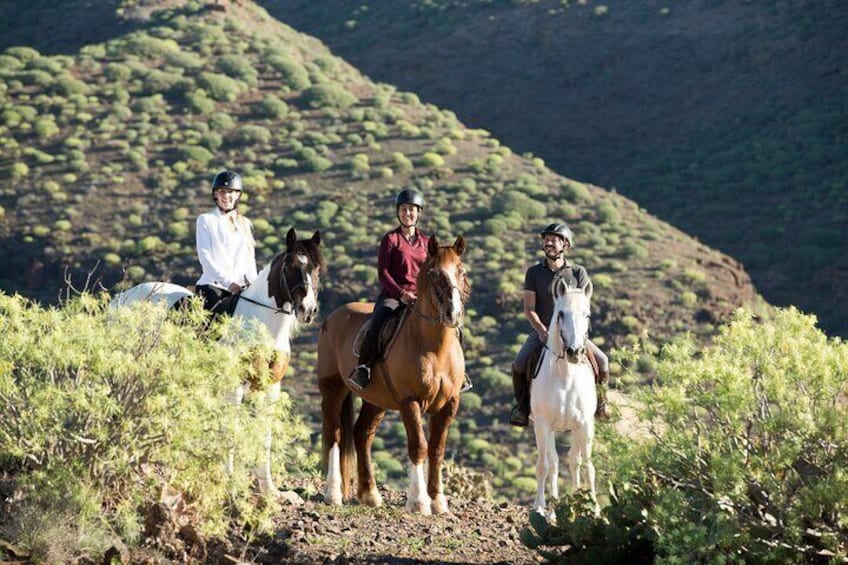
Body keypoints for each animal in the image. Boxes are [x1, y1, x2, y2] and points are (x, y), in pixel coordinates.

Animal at [112, 227, 324, 492]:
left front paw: (267, 487)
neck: (263, 324)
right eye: (291, 267)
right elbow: (231, 427)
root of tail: (121, 298)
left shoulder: (271, 388)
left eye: (317, 269)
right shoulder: (234, 386)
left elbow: (264, 434)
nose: (308, 310)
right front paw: (230, 479)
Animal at [318, 234, 470, 512]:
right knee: (335, 433)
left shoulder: (449, 404)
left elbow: (437, 449)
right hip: (333, 389)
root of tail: (332, 317)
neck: (434, 348)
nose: (452, 313)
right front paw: (419, 501)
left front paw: (438, 500)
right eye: (433, 273)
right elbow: (419, 446)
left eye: (461, 271)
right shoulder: (410, 401)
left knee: (362, 434)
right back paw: (333, 493)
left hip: (376, 400)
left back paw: (370, 494)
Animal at [528, 278, 596, 520]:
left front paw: (594, 509)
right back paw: (549, 509)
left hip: (575, 429)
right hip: (548, 430)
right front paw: (543, 509)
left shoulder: (585, 424)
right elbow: (545, 466)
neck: (566, 376)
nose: (574, 352)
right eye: (561, 314)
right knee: (552, 464)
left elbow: (587, 466)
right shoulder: (542, 425)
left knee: (574, 461)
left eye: (587, 314)